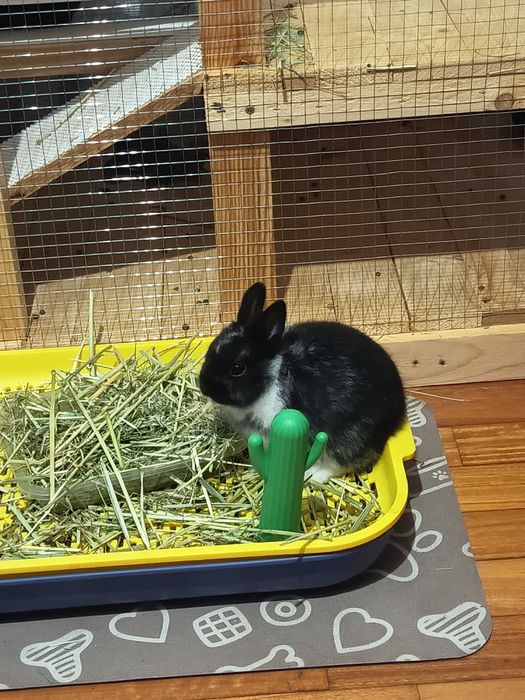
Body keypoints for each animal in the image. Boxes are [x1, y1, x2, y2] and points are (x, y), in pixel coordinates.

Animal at [199, 282, 406, 483]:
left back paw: (314, 474)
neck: (273, 375)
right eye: (211, 350)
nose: (205, 388)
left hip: (347, 437)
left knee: (345, 461)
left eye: (238, 368)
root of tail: (396, 414)